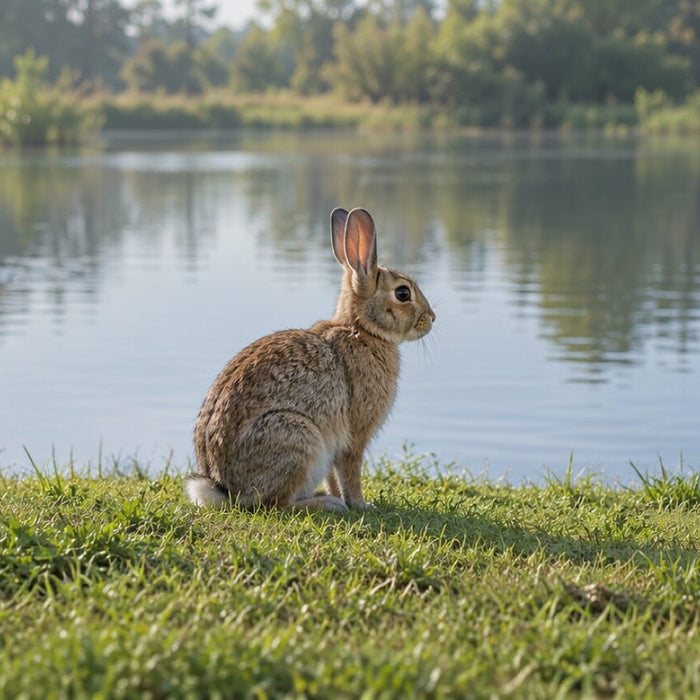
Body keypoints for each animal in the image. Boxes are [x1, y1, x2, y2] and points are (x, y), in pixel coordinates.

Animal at [186, 206, 435, 512]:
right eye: (403, 293)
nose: (432, 318)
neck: (362, 329)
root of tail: (224, 489)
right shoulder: (354, 434)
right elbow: (350, 470)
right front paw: (361, 504)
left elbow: (334, 475)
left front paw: (348, 499)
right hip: (298, 438)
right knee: (276, 504)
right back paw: (327, 504)